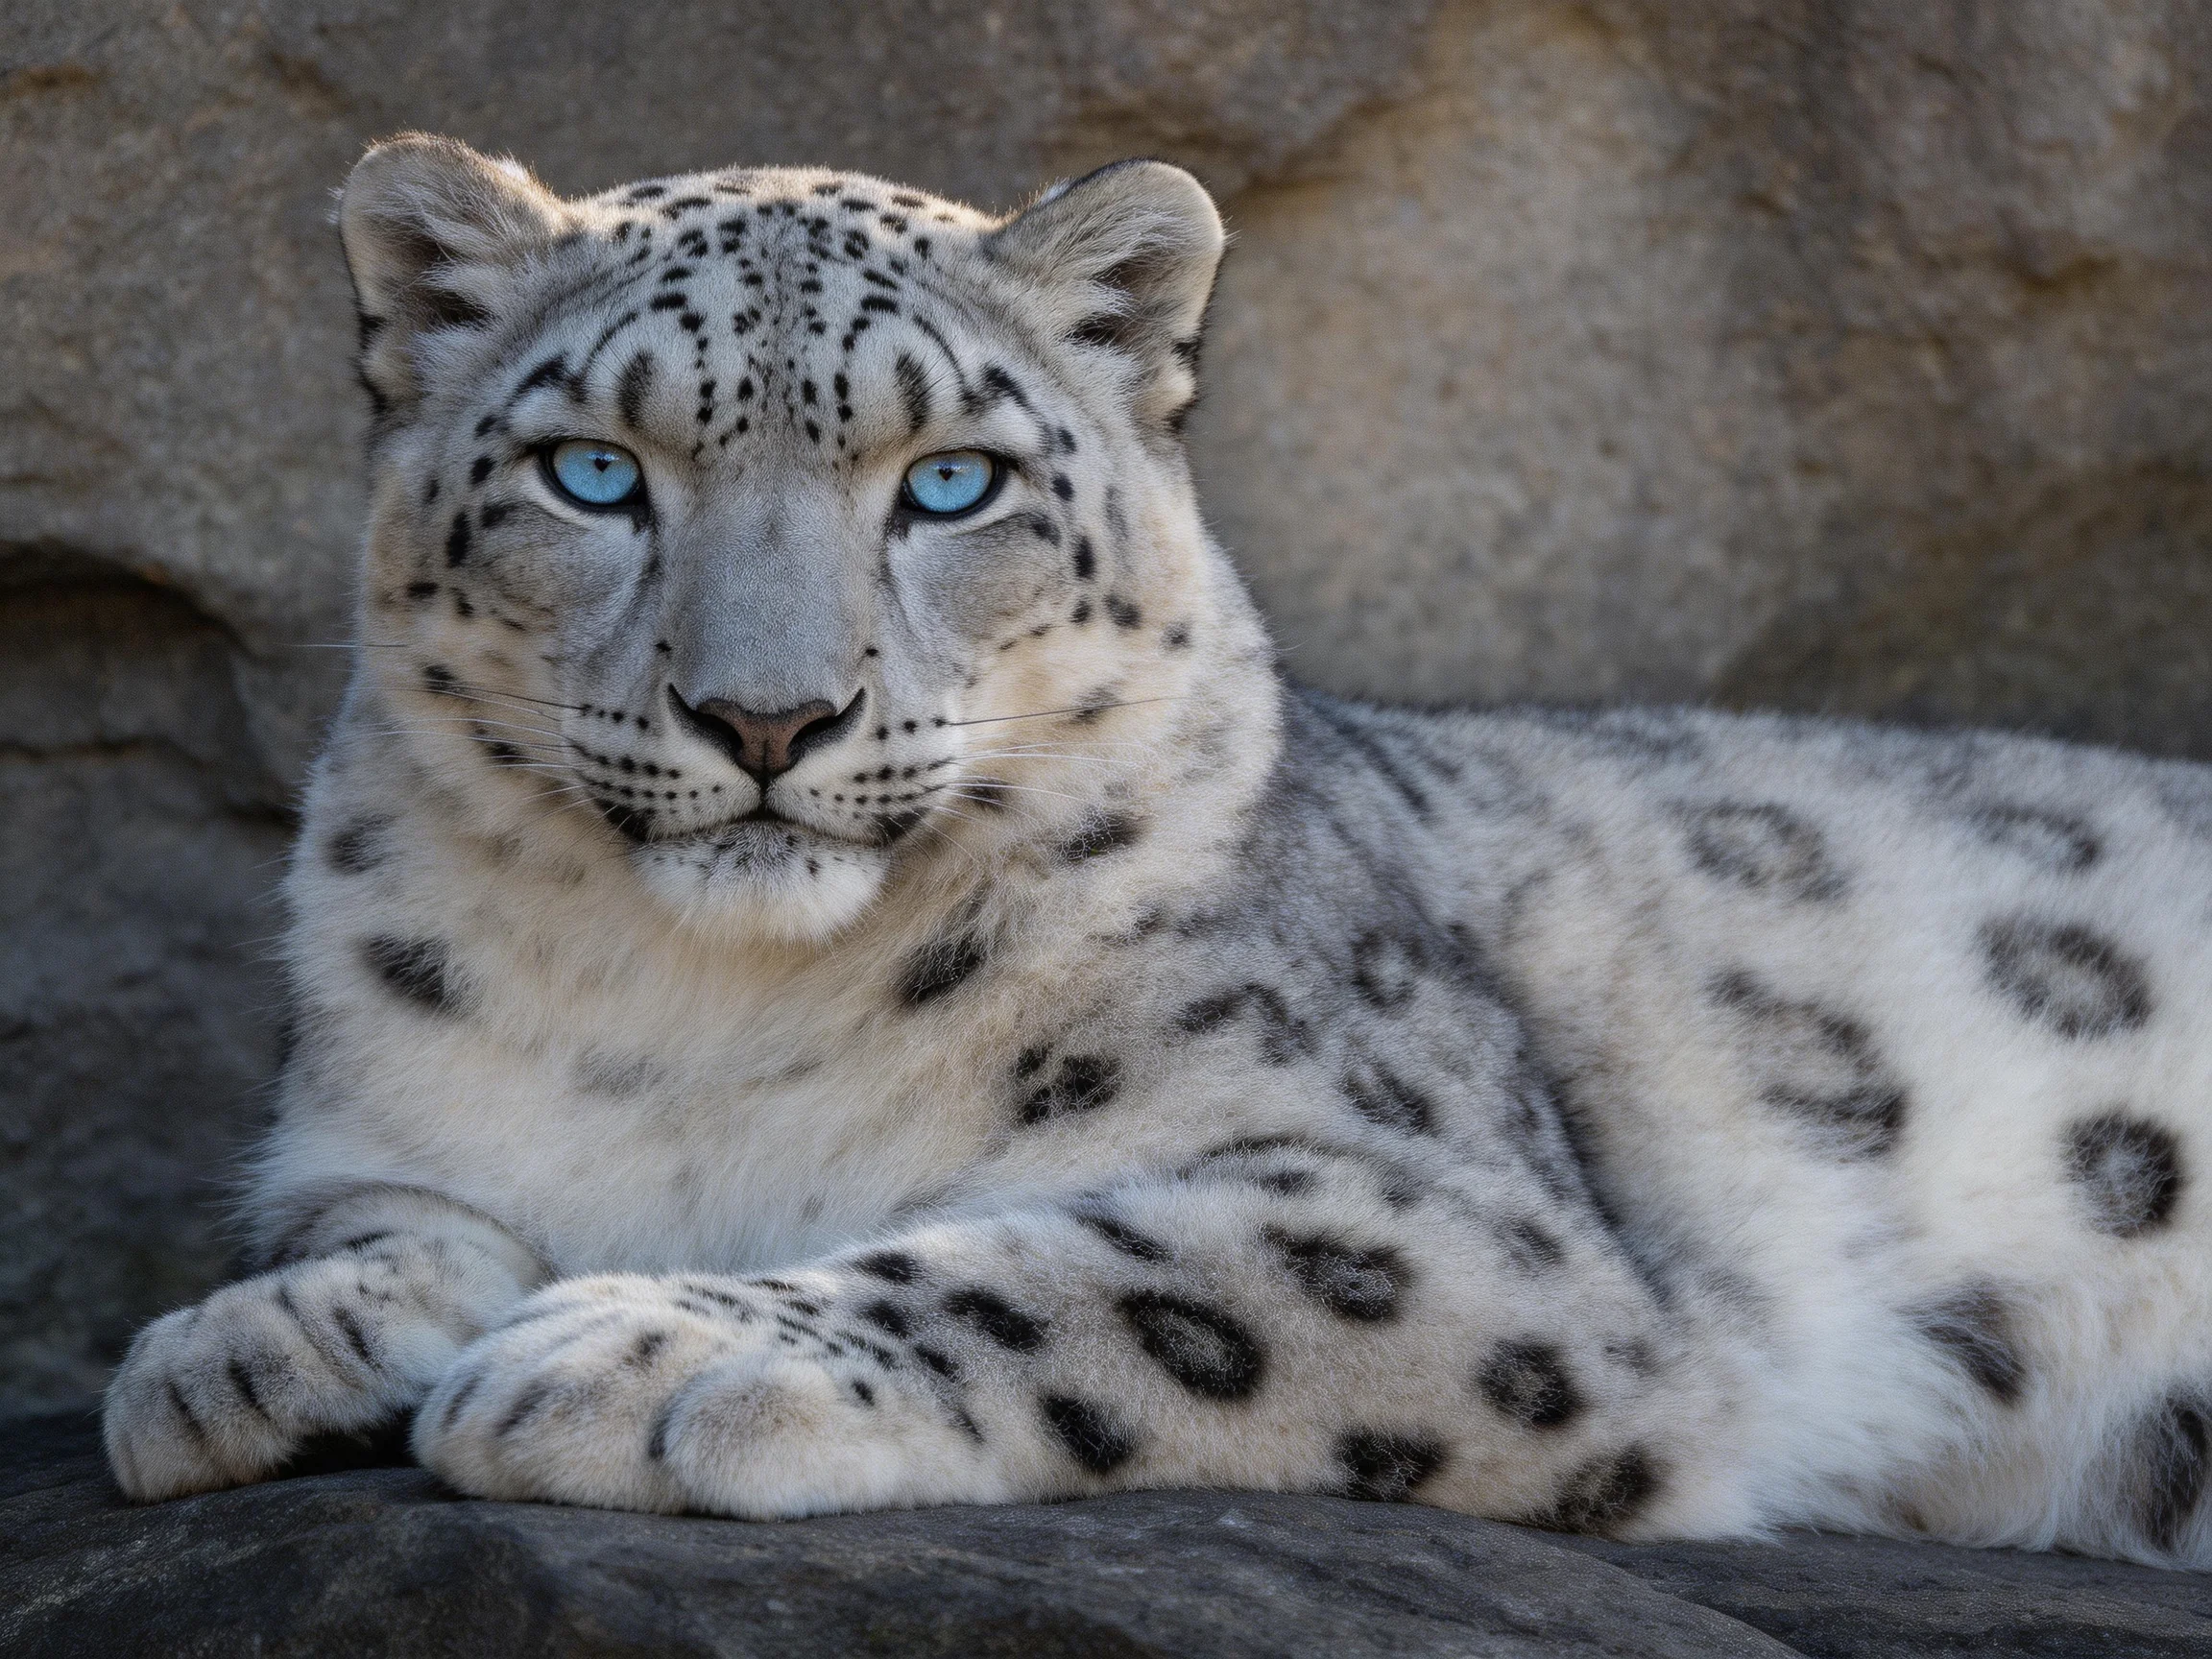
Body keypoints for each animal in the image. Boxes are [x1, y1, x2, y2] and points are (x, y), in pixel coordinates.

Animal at [101, 134, 2212, 1569]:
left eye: (950, 480)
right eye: (595, 472)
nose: (766, 718)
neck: (700, 1010)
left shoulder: (1452, 1223)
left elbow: (1077, 1271)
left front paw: (641, 1352)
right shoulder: (373, 1124)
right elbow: (373, 1212)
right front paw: (244, 1348)